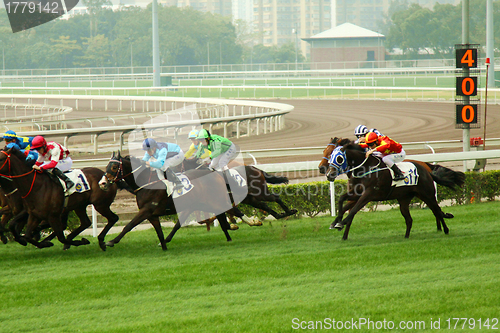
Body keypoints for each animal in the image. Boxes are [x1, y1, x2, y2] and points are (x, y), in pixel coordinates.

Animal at [324, 140, 464, 239]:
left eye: (339, 158)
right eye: (330, 156)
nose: (328, 175)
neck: (365, 168)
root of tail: (427, 170)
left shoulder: (368, 195)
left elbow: (353, 210)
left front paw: (341, 223)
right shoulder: (357, 193)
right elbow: (341, 199)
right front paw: (336, 222)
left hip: (427, 195)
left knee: (437, 211)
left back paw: (446, 230)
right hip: (404, 199)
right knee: (409, 219)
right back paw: (406, 237)